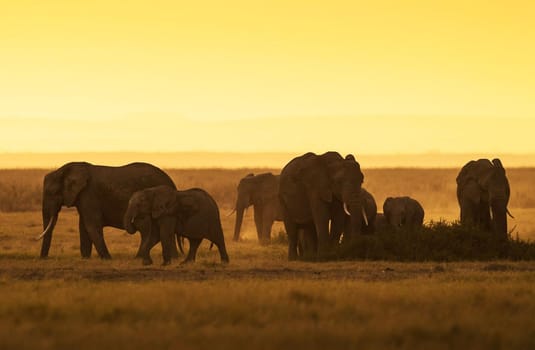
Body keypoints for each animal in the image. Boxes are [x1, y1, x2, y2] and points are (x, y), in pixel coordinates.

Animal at [36, 163, 178, 258]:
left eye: (52, 193)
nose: (43, 259)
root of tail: (172, 183)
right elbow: (83, 226)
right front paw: (86, 258)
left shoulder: (89, 194)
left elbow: (91, 225)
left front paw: (107, 259)